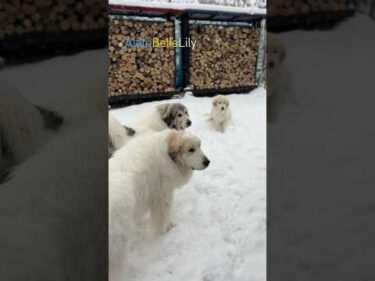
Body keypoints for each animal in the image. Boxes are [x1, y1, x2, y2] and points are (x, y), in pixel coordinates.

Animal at [108, 129, 210, 280]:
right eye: (191, 150)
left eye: (200, 146)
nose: (207, 162)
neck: (168, 154)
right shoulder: (163, 196)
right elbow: (163, 217)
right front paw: (167, 228)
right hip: (117, 248)